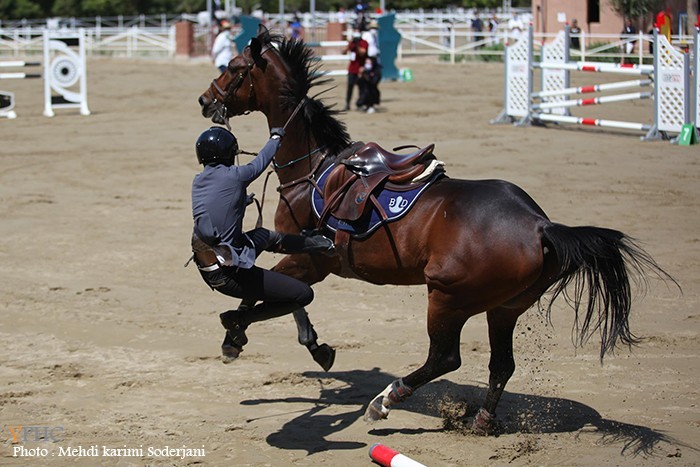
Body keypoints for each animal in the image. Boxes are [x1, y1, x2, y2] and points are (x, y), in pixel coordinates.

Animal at [196, 27, 672, 434]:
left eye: (234, 67)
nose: (205, 99)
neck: (314, 168)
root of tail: (540, 225)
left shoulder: (311, 259)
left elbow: (270, 295)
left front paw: (240, 336)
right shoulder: (308, 260)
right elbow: (285, 298)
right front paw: (304, 345)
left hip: (446, 299)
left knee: (445, 358)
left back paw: (386, 401)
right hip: (505, 308)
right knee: (501, 365)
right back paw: (481, 421)